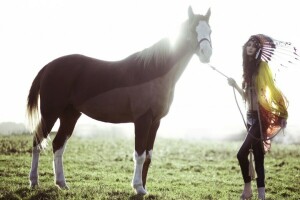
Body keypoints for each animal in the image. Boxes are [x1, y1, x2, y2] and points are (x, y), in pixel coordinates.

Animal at [27, 6, 212, 195]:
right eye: (192, 30)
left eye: (210, 31)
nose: (207, 54)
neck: (154, 72)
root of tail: (48, 67)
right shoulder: (142, 120)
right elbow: (139, 155)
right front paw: (138, 187)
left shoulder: (155, 122)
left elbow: (148, 156)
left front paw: (143, 188)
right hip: (50, 113)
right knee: (37, 142)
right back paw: (34, 181)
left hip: (70, 115)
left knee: (58, 145)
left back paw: (62, 183)